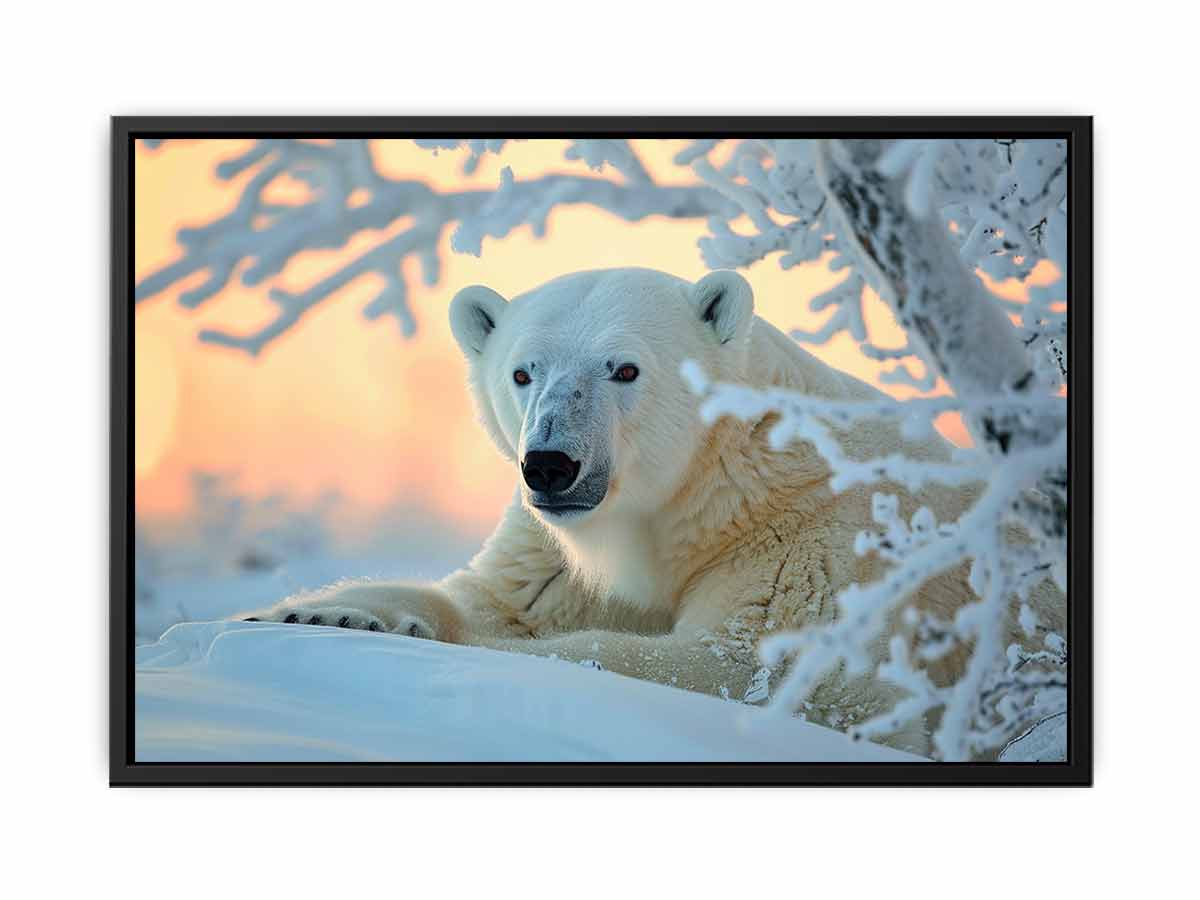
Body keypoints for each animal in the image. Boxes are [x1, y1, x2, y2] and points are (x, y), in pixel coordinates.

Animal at [241, 267, 1063, 756]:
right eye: (523, 372)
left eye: (625, 368)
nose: (550, 464)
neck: (704, 492)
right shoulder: (558, 549)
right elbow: (494, 597)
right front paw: (320, 612)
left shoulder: (813, 540)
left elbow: (764, 672)